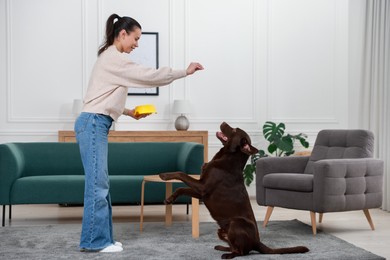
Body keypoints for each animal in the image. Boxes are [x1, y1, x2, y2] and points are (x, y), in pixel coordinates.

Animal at [160, 123, 310, 258]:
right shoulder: (201, 193)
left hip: (235, 223)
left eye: (233, 130)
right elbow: (182, 188)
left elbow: (181, 174)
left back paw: (227, 255)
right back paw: (222, 248)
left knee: (242, 252)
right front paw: (170, 199)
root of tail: (257, 242)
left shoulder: (202, 187)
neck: (227, 157)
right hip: (221, 230)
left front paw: (165, 175)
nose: (223, 122)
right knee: (236, 247)